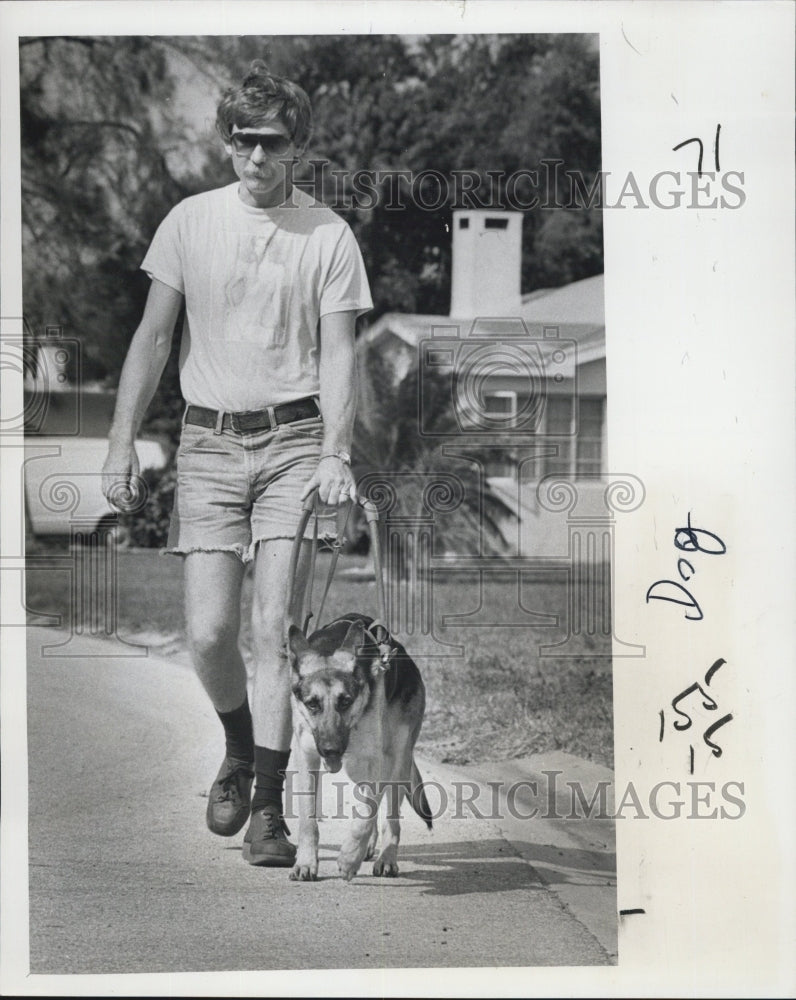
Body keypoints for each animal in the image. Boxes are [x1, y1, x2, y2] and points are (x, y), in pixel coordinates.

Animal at [290, 612, 432, 880]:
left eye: (345, 701)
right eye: (312, 704)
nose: (331, 750)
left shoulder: (376, 760)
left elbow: (366, 814)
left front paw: (349, 858)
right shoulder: (306, 758)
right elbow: (307, 819)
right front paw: (305, 862)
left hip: (397, 761)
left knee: (391, 818)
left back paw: (386, 858)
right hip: (356, 768)